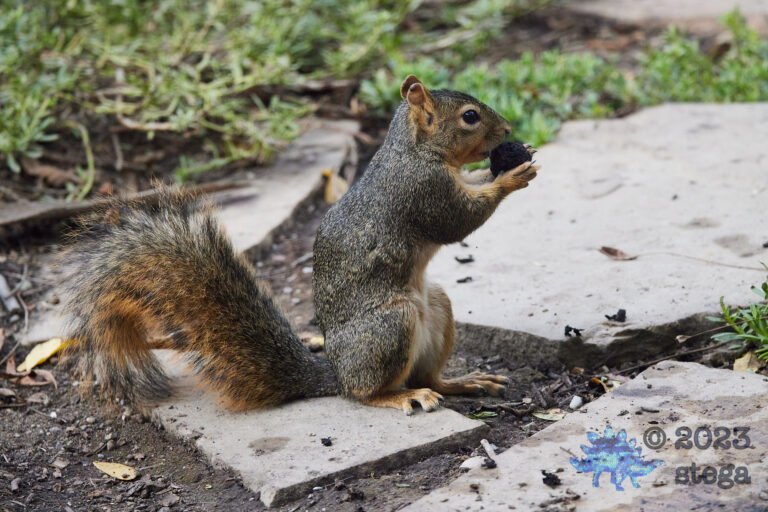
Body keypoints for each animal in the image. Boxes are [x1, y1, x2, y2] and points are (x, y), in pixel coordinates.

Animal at [62, 75, 540, 414]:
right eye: (470, 117)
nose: (508, 128)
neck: (413, 150)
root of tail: (336, 373)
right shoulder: (421, 190)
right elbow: (457, 220)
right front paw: (512, 177)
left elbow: (471, 186)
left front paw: (507, 163)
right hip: (392, 324)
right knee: (366, 392)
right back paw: (400, 396)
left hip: (435, 306)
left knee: (427, 375)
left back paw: (462, 382)